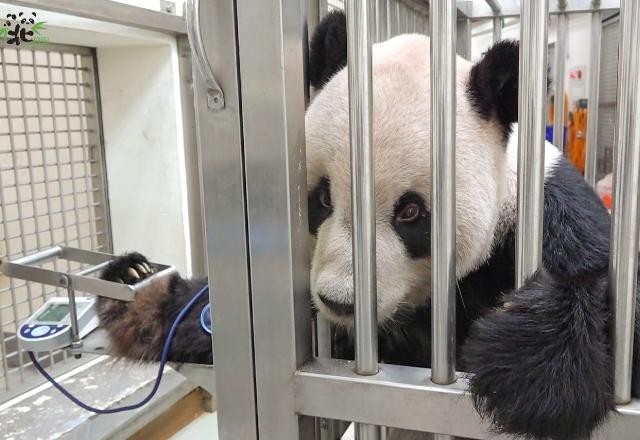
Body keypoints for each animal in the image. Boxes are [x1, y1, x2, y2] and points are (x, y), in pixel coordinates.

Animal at [98, 11, 640, 440]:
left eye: (411, 212)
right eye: (321, 198)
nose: (340, 301)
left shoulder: (544, 218)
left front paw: (527, 368)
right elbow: (210, 322)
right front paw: (134, 281)